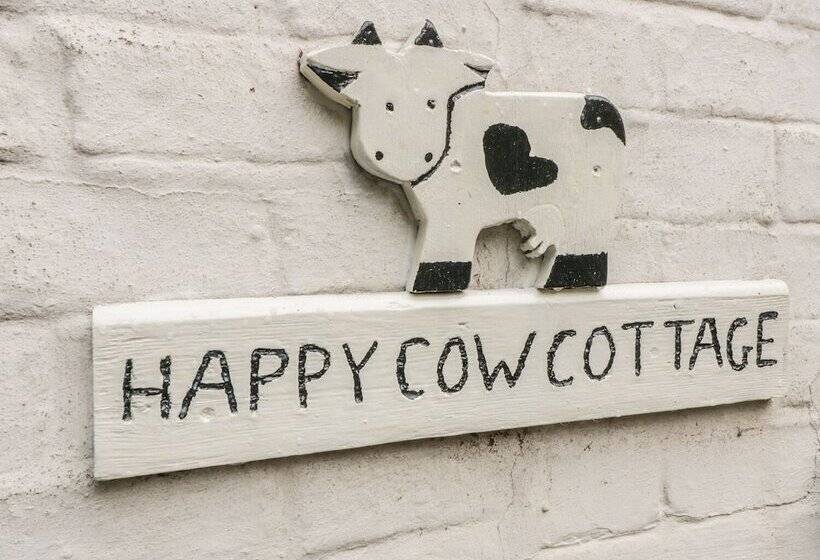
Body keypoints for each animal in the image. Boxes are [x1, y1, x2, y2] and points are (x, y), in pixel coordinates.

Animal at [300, 20, 625, 293]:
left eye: (432, 103)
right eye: (386, 105)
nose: (420, 155)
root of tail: (600, 108)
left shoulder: (453, 214)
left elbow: (444, 252)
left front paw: (429, 287)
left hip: (590, 202)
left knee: (583, 242)